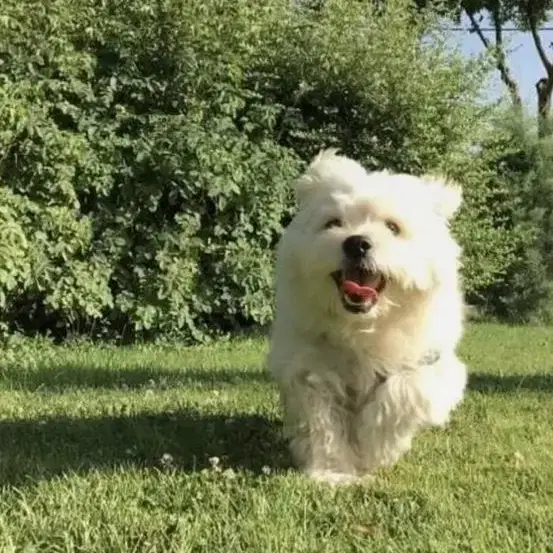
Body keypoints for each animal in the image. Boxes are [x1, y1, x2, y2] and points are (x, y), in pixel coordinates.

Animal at [268, 150, 466, 484]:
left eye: (393, 227)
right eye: (333, 222)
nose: (356, 243)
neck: (363, 326)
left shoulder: (431, 364)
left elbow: (400, 390)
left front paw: (374, 449)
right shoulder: (309, 366)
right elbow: (323, 422)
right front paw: (333, 472)